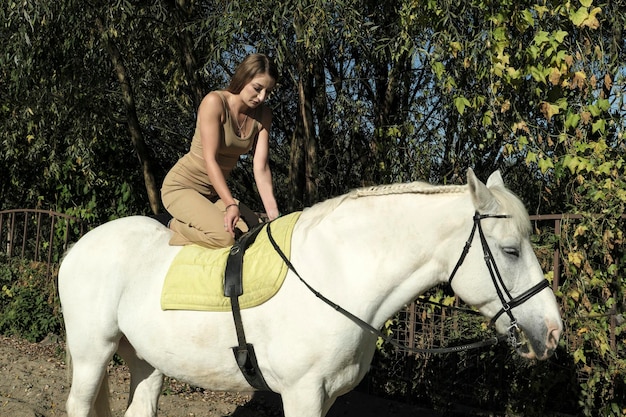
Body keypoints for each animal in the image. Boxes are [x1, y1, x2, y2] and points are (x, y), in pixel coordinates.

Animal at [57, 169, 560, 416]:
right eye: (510, 250)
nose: (553, 332)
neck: (338, 274)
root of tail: (77, 248)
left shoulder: (328, 395)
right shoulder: (301, 395)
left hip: (145, 358)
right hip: (92, 352)